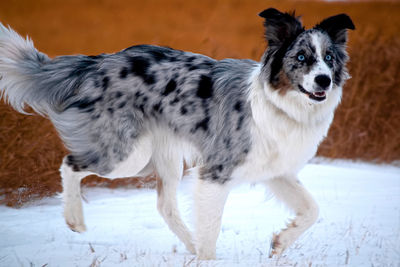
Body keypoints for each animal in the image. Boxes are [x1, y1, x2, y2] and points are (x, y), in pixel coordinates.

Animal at [0, 7, 356, 260]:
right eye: (301, 58)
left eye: (329, 58)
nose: (324, 80)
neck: (281, 105)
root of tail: (97, 63)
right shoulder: (215, 174)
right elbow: (212, 229)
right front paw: (208, 259)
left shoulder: (276, 171)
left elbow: (312, 209)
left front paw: (280, 242)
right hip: (126, 155)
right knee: (70, 164)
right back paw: (75, 219)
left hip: (163, 157)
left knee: (164, 205)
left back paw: (190, 245)